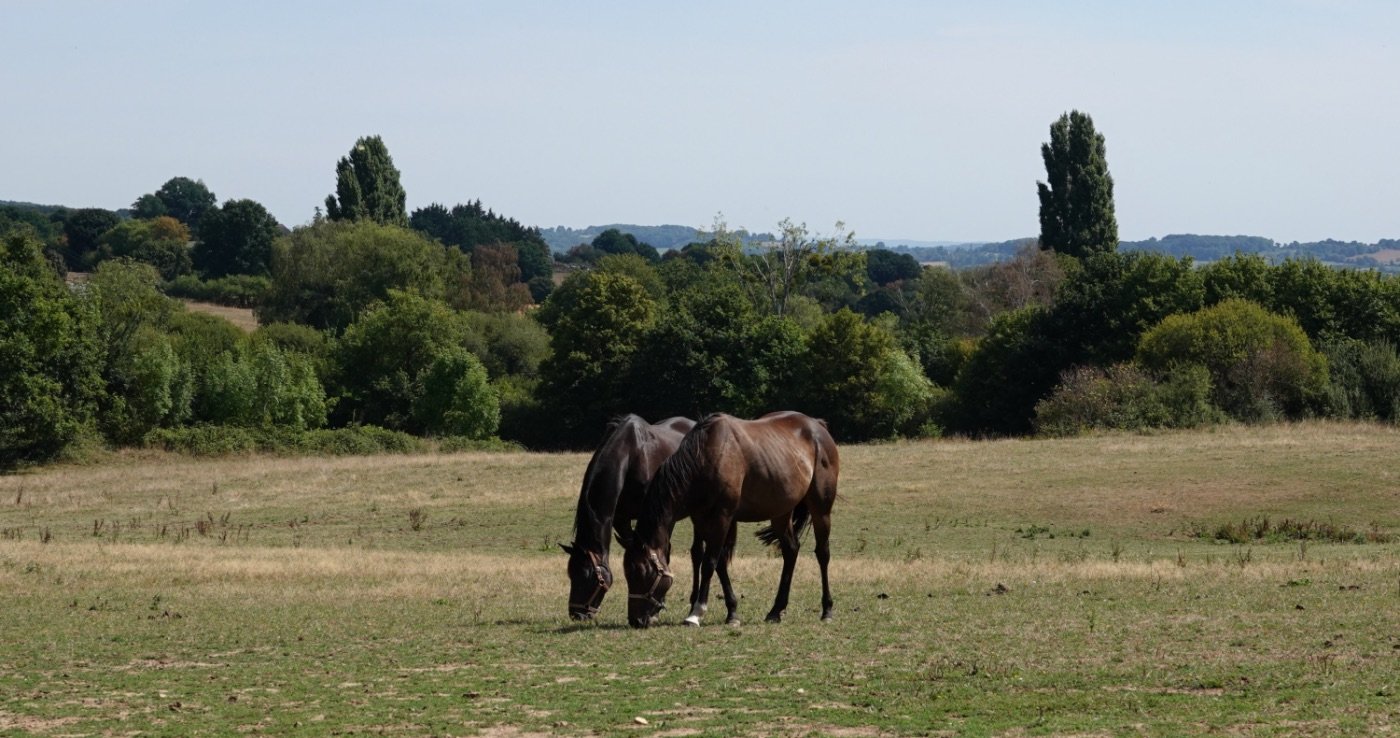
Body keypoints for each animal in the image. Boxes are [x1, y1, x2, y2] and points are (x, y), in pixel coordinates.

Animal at [622, 411, 839, 628]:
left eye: (642, 572)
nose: (635, 620)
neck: (705, 458)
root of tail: (817, 426)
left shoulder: (722, 517)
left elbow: (710, 562)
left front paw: (696, 613)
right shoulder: (701, 520)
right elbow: (718, 563)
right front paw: (732, 612)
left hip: (821, 510)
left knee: (823, 553)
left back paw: (827, 610)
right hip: (781, 513)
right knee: (791, 550)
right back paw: (776, 610)